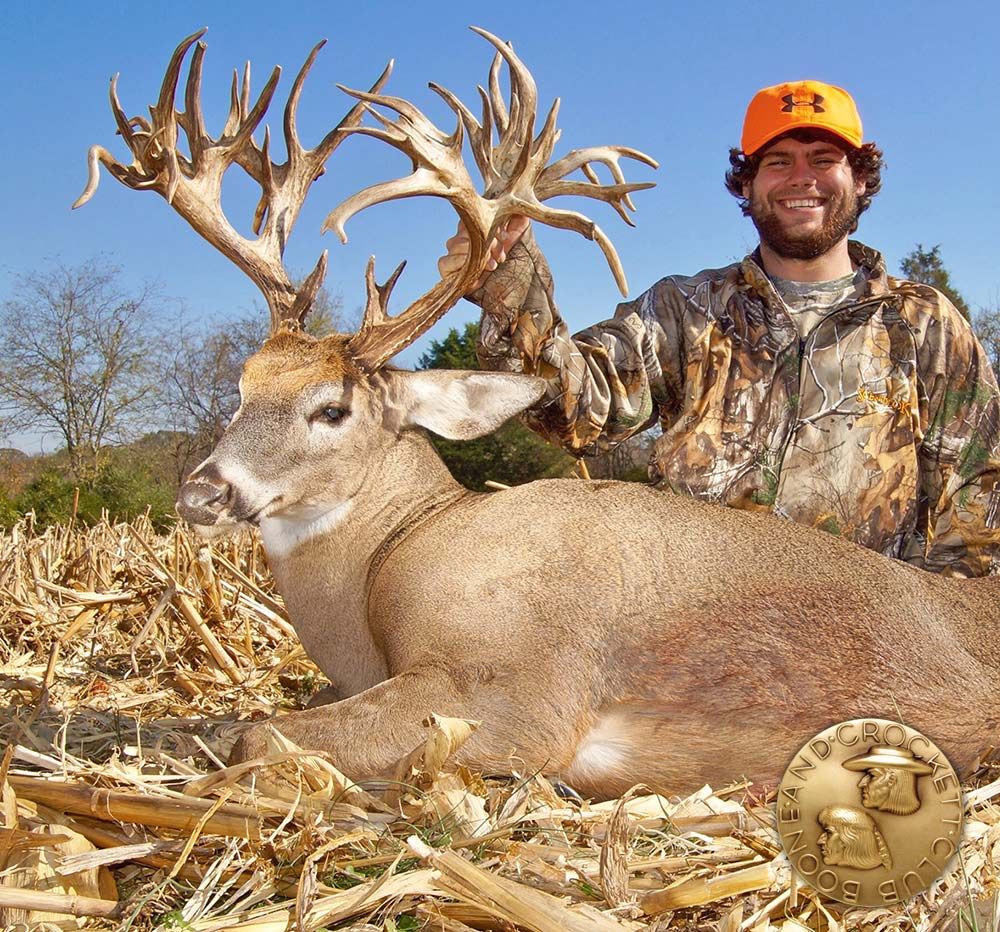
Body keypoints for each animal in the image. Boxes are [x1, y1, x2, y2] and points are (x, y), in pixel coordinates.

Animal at [75, 28, 999, 800]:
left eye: (331, 408)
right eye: (243, 385)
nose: (202, 492)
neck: (394, 558)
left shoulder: (514, 692)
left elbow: (255, 736)